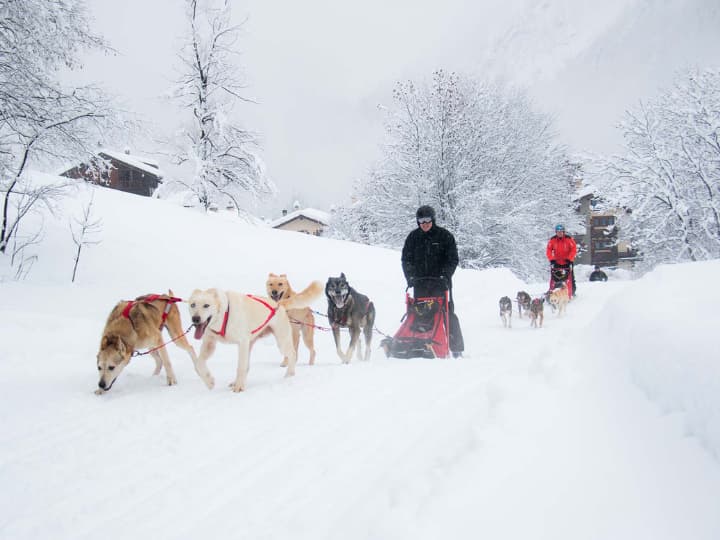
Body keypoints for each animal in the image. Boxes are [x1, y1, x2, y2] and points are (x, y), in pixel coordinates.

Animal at [188, 282, 320, 392]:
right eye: (193, 305)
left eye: (206, 305)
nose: (195, 319)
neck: (224, 314)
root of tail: (278, 304)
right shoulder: (209, 343)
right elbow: (198, 364)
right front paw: (209, 381)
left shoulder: (242, 342)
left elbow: (240, 367)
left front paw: (239, 387)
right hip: (250, 345)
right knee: (247, 366)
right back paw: (236, 381)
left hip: (281, 341)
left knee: (292, 354)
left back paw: (289, 375)